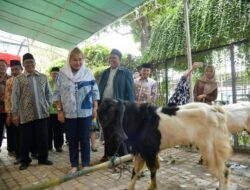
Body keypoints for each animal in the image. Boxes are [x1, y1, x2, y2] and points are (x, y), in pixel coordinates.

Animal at [97, 98, 232, 190]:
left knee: (223, 172)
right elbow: (136, 171)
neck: (139, 119)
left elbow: (152, 169)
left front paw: (152, 187)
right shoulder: (141, 151)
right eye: (100, 115)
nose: (105, 139)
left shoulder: (149, 151)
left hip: (210, 149)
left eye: (107, 116)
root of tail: (215, 110)